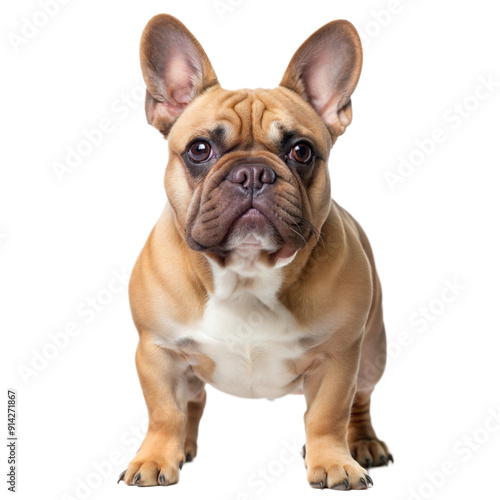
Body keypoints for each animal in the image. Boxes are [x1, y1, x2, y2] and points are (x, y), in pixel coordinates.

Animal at [119, 13, 392, 490]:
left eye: (301, 150)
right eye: (200, 149)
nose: (252, 172)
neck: (245, 274)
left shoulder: (339, 357)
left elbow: (328, 414)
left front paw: (332, 462)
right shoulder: (157, 351)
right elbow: (164, 411)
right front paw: (155, 457)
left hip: (373, 351)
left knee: (360, 399)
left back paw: (362, 446)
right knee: (192, 402)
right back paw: (182, 448)